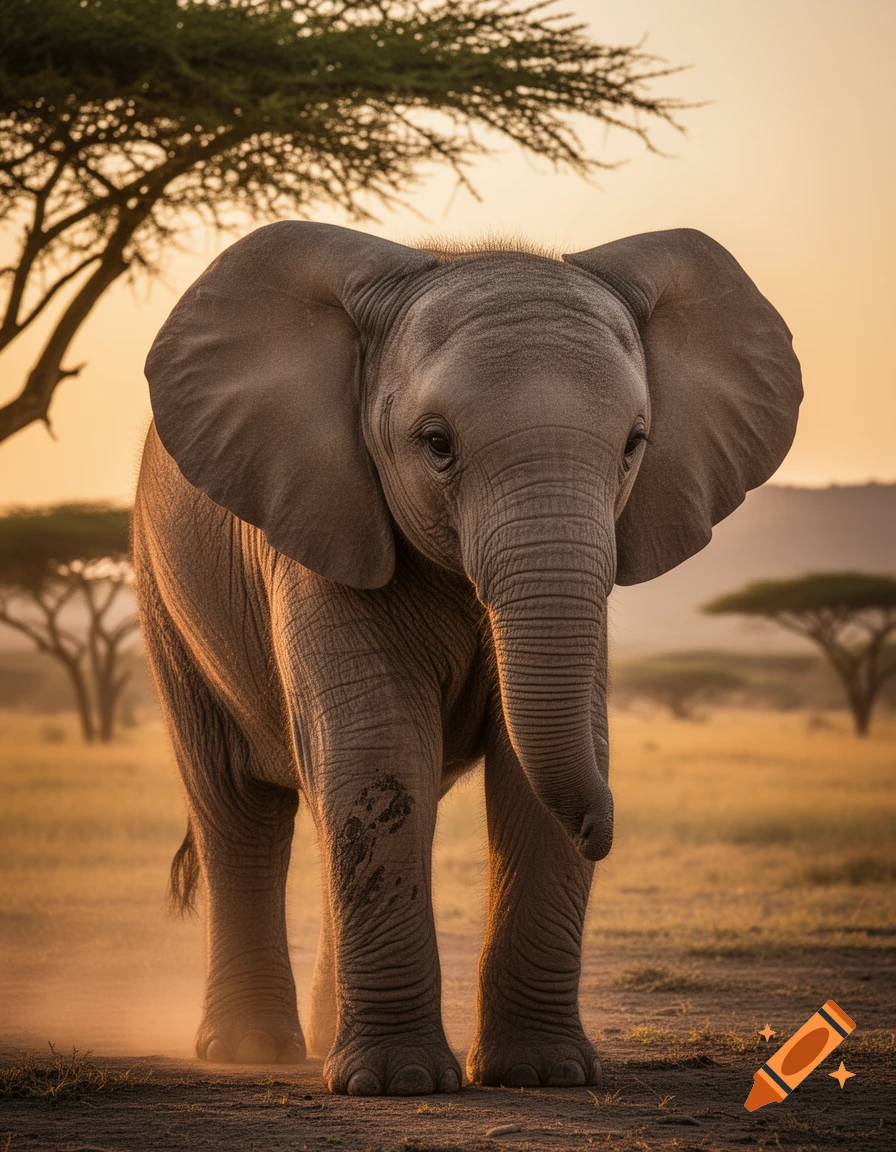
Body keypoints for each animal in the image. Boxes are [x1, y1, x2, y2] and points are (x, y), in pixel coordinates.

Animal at [133, 222, 801, 1096]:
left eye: (634, 445)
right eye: (437, 444)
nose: (601, 830)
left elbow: (527, 771)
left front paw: (544, 1074)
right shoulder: (323, 525)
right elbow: (377, 754)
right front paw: (396, 1085)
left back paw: (322, 1040)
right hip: (164, 598)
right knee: (237, 809)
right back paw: (252, 1050)